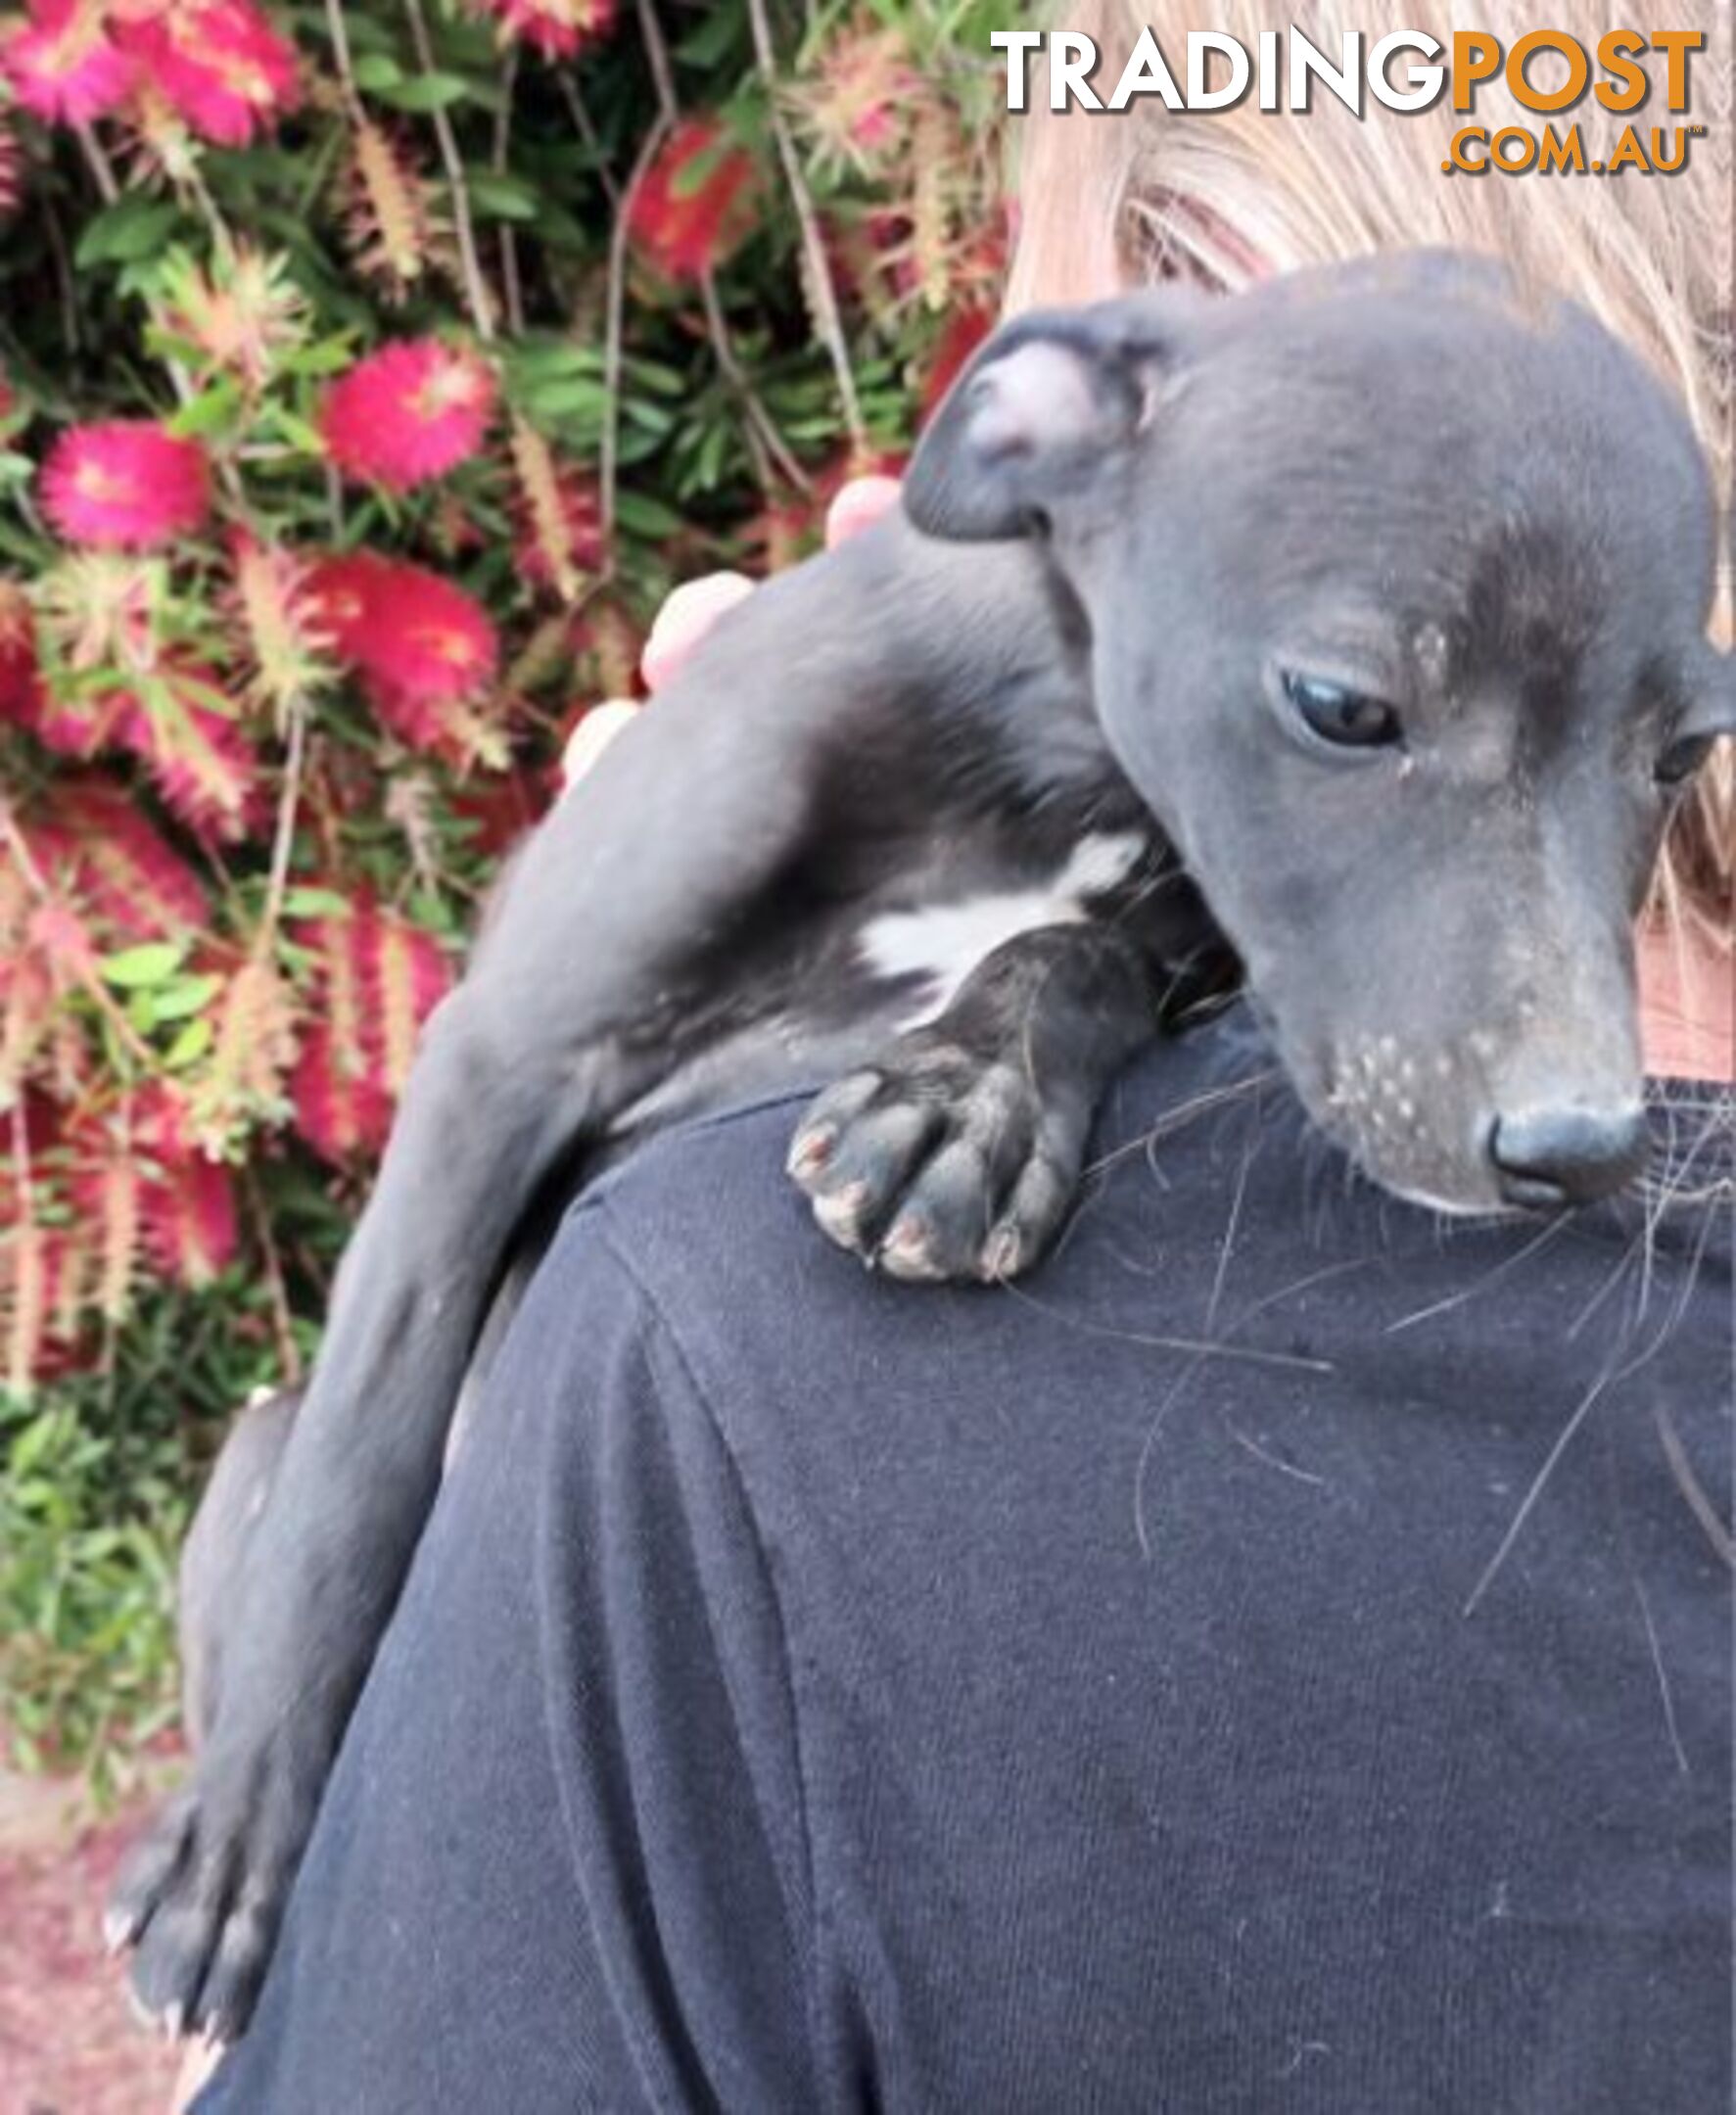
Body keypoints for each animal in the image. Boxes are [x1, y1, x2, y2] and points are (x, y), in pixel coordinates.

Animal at [111, 252, 1733, 2046]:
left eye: (1682, 752)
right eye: (1342, 705)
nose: (1584, 1146)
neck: (1044, 760)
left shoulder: (1164, 926)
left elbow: (1076, 958)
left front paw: (968, 1104)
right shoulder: (496, 1058)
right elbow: (365, 1464)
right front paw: (238, 1849)